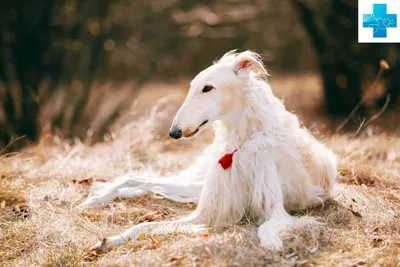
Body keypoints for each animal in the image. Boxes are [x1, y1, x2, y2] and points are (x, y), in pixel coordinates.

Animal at [85, 50, 338, 253]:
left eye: (208, 88)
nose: (173, 132)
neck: (241, 143)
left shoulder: (276, 211)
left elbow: (266, 227)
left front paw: (271, 243)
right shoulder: (205, 213)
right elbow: (144, 225)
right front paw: (110, 240)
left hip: (194, 187)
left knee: (146, 184)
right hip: (197, 184)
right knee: (138, 179)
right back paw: (96, 199)